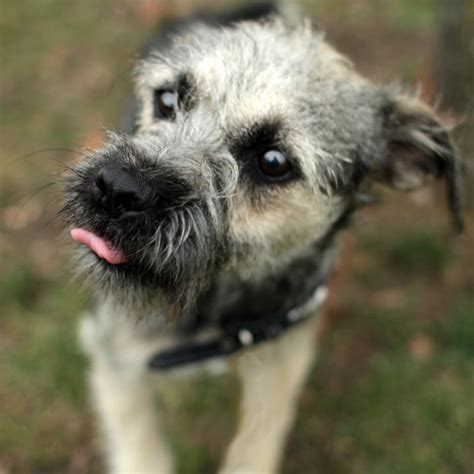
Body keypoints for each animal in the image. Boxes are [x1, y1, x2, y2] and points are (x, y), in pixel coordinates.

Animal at [59, 1, 462, 472]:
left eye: (273, 161)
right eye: (167, 100)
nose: (117, 189)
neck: (220, 308)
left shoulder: (281, 360)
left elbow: (257, 442)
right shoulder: (116, 358)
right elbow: (141, 446)